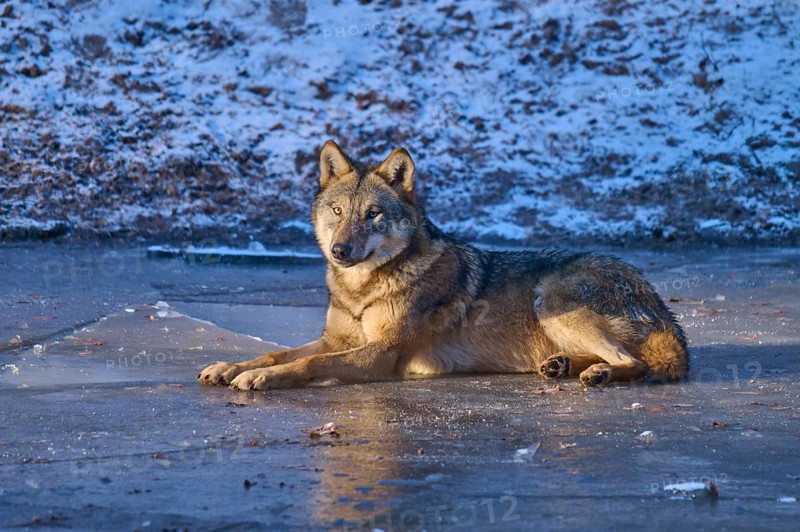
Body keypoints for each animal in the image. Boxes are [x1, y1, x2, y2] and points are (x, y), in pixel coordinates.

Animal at [198, 140, 688, 391]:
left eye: (372, 214)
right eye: (337, 211)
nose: (340, 251)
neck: (363, 289)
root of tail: (664, 310)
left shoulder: (381, 354)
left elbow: (306, 364)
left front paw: (261, 376)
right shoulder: (336, 340)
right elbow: (279, 351)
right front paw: (232, 367)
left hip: (549, 302)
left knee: (638, 363)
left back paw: (599, 373)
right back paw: (561, 366)